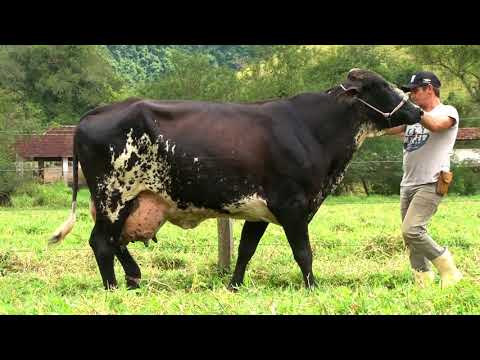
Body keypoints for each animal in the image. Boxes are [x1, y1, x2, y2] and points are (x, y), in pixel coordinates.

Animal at [50, 69, 422, 290]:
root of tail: (95, 113)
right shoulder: (293, 208)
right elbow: (304, 252)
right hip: (113, 197)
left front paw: (234, 285)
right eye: (379, 86)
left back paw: (134, 279)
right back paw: (114, 288)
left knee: (115, 243)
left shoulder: (260, 212)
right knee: (102, 243)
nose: (417, 110)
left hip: (130, 202)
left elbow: (245, 250)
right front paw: (312, 286)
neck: (313, 130)